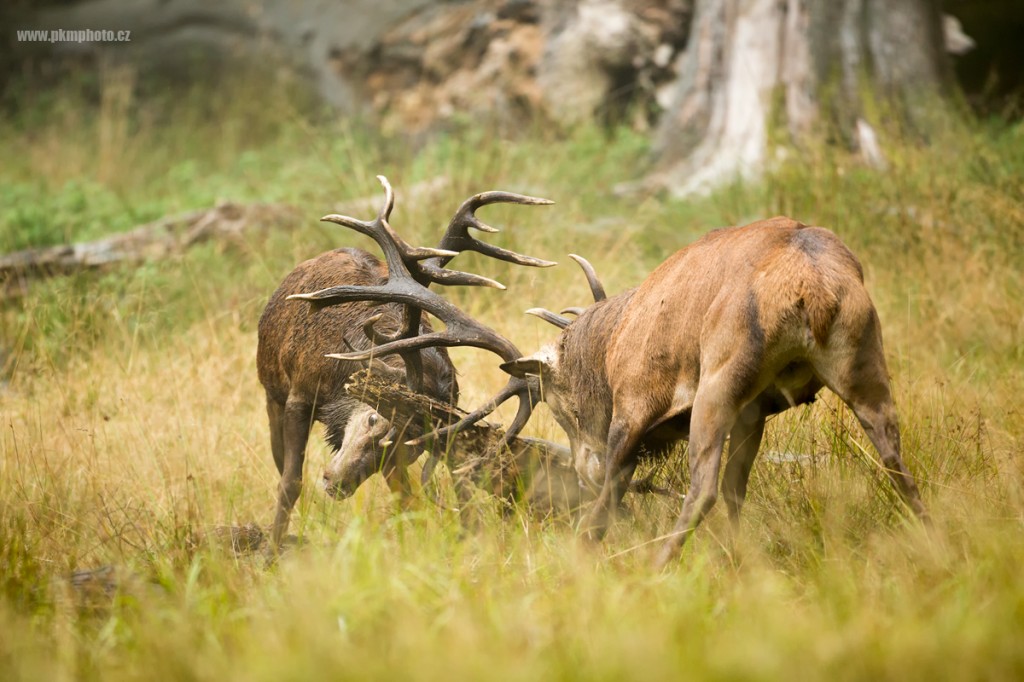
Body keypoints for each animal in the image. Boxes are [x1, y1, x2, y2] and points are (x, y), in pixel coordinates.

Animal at [257, 176, 554, 549]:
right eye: (373, 417)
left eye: (410, 446)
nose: (335, 482)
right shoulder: (299, 393)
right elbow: (290, 481)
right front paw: (272, 549)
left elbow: (431, 491)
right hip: (271, 389)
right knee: (279, 460)